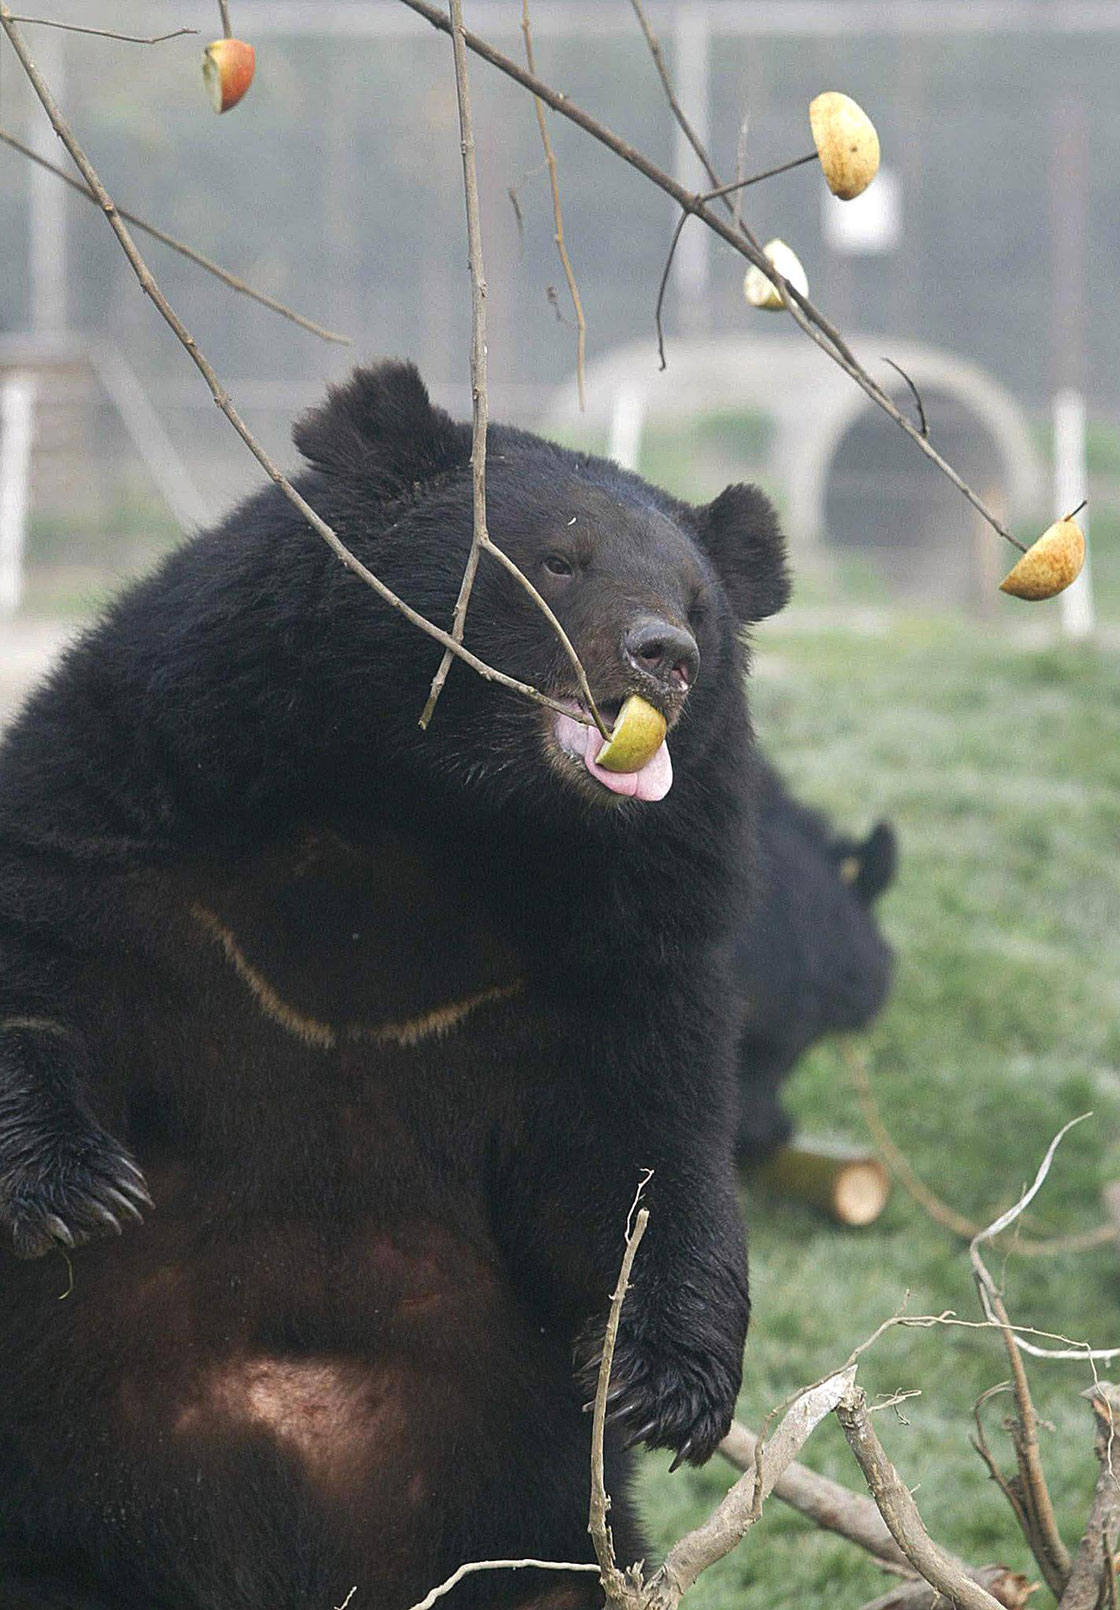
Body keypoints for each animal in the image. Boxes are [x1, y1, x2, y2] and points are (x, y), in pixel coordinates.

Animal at [0, 361, 789, 1610]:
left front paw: (668, 1384)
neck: (437, 818)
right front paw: (81, 1190)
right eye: (557, 560)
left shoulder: (621, 949)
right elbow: (42, 955)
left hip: (522, 1530)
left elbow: (639, 1149)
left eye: (696, 601)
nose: (665, 653)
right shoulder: (141, 808)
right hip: (63, 1515)